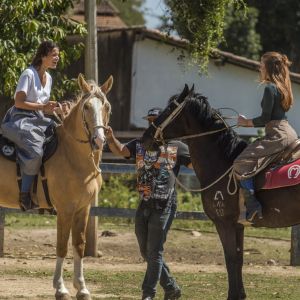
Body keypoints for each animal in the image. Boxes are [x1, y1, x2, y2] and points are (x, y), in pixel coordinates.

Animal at [0, 73, 112, 300]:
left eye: (106, 106)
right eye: (87, 107)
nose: (98, 140)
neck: (72, 155)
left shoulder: (83, 209)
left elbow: (79, 245)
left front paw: (82, 288)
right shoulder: (65, 210)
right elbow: (61, 246)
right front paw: (60, 288)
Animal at [140, 84, 300, 300]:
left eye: (169, 108)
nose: (146, 138)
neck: (224, 162)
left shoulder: (225, 223)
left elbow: (230, 259)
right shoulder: (238, 226)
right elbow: (238, 260)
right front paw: (240, 294)